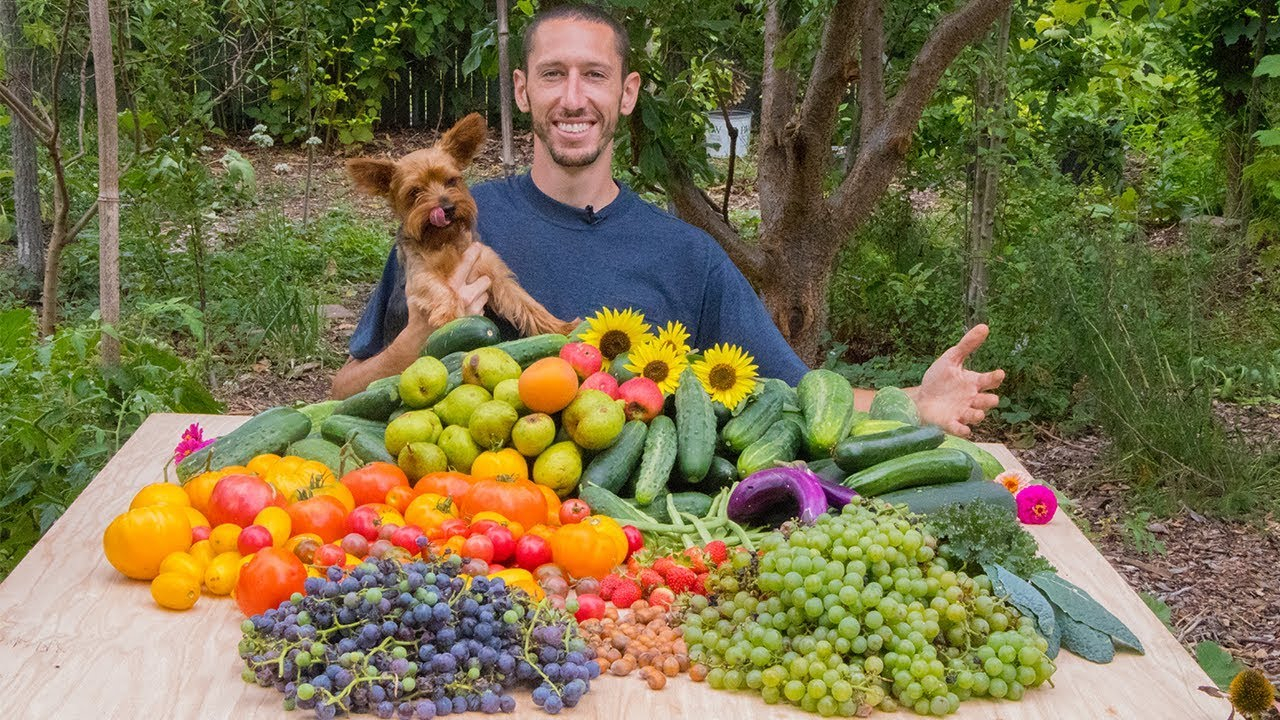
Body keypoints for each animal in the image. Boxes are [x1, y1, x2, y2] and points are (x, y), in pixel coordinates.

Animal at [345, 112, 576, 335]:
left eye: (451, 181)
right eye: (415, 192)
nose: (447, 208)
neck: (446, 239)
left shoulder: (493, 272)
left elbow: (524, 302)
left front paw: (560, 327)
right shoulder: (419, 272)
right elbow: (437, 286)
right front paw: (449, 312)